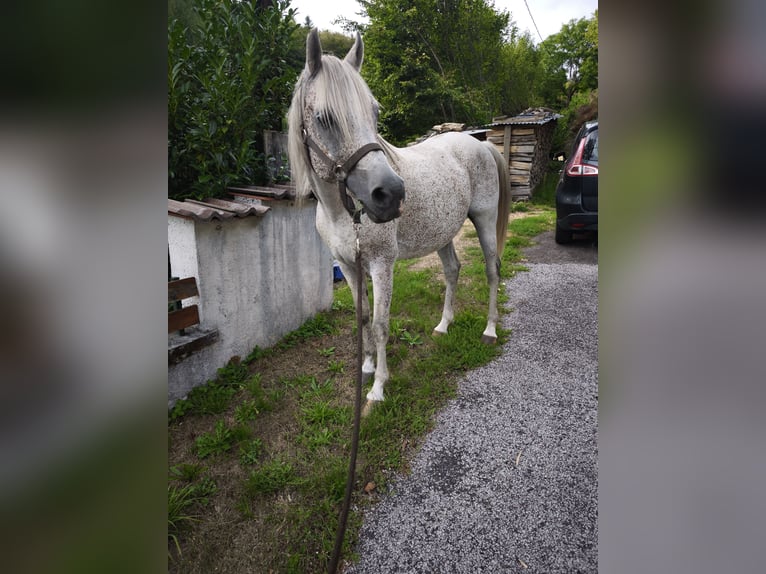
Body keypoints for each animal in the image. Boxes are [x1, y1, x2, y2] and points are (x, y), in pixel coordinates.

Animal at [287, 29, 511, 405]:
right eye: (324, 118)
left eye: (375, 113)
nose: (391, 194)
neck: (341, 213)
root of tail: (479, 143)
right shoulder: (349, 265)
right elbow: (363, 318)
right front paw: (365, 368)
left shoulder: (382, 265)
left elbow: (380, 325)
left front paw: (378, 387)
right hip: (442, 232)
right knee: (453, 271)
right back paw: (443, 325)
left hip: (483, 220)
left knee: (492, 271)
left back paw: (490, 330)